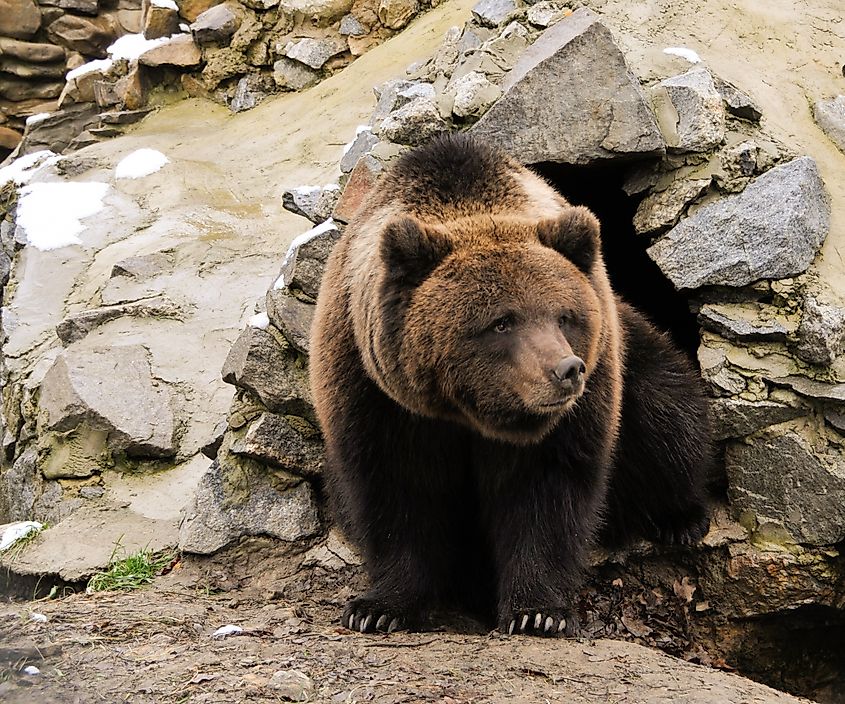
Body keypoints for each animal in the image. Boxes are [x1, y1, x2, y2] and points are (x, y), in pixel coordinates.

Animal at [309, 132, 712, 636]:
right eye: (502, 321)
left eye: (564, 315)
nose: (566, 369)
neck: (467, 413)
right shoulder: (374, 391)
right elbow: (395, 489)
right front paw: (379, 608)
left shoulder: (575, 408)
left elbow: (544, 492)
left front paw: (537, 611)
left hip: (632, 355)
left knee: (668, 417)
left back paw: (681, 517)